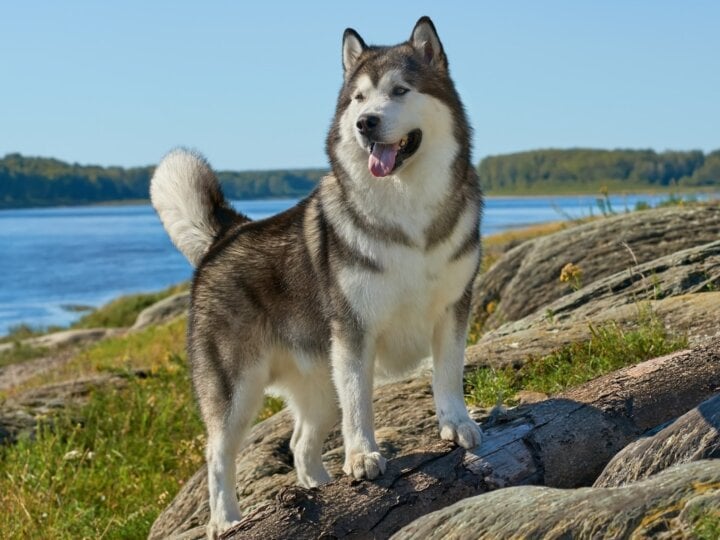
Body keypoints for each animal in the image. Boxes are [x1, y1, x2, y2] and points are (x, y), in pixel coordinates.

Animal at [150, 14, 484, 536]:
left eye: (400, 90)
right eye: (359, 99)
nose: (366, 124)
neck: (407, 208)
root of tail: (229, 232)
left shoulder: (453, 309)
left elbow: (447, 375)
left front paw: (457, 423)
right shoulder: (355, 333)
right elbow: (361, 407)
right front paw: (363, 455)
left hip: (321, 384)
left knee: (299, 444)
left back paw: (320, 489)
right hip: (236, 391)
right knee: (217, 456)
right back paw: (226, 520)